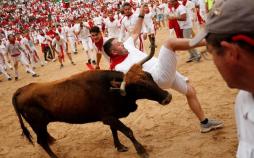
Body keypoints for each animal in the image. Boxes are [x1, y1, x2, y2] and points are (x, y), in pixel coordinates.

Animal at [11, 42, 171, 157]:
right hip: (38, 123)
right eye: (140, 87)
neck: (110, 89)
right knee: (41, 141)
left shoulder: (110, 117)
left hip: (40, 124)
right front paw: (141, 150)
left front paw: (119, 147)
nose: (167, 97)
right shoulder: (109, 117)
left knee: (44, 139)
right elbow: (128, 131)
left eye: (149, 76)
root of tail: (22, 89)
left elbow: (114, 131)